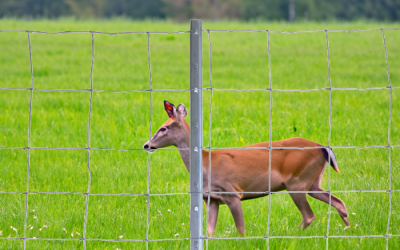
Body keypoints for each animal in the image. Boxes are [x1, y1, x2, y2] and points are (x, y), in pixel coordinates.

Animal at [144, 100, 350, 236]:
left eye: (164, 128)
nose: (146, 145)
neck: (205, 165)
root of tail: (323, 147)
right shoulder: (210, 198)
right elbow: (210, 231)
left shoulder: (233, 193)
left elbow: (241, 229)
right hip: (312, 182)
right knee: (338, 202)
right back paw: (348, 229)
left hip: (297, 182)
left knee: (309, 215)